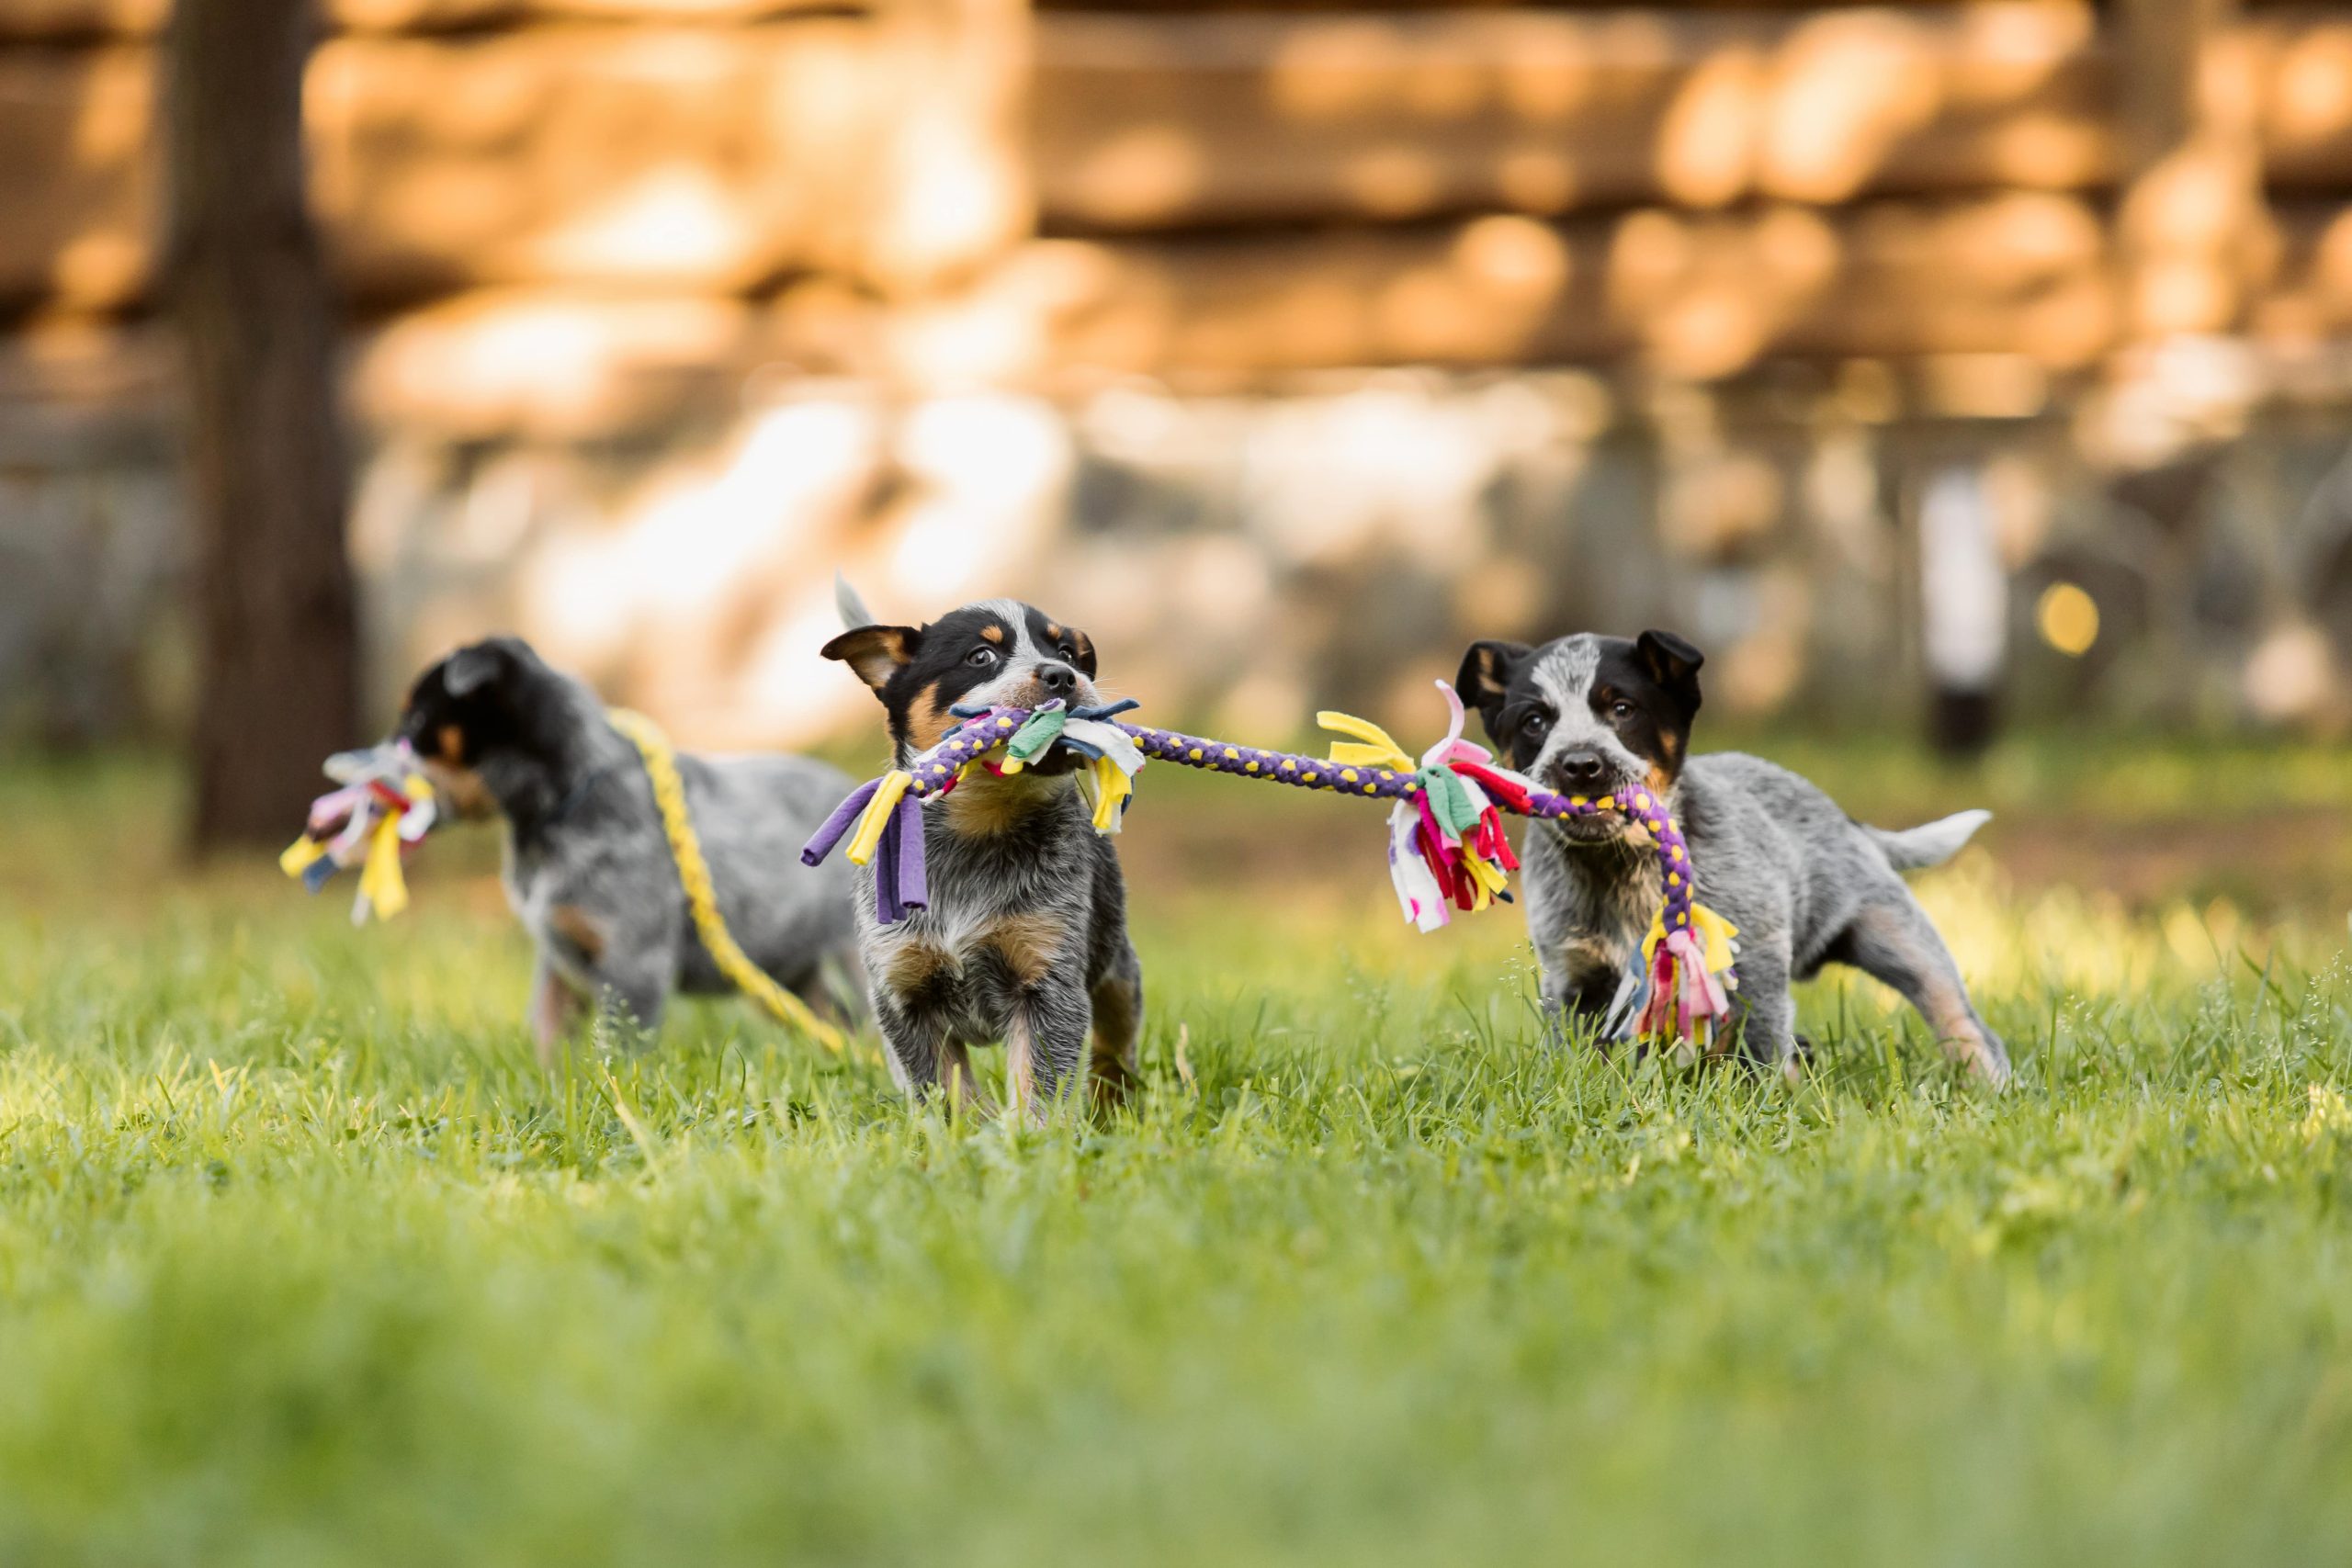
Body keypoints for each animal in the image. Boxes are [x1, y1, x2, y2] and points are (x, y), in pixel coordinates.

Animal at [395, 629, 865, 1062]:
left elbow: (619, 1046)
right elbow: (549, 1030)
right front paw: (549, 1083)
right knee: (837, 1018)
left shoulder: (632, 960)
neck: (565, 800)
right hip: (786, 971)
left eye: (415, 721)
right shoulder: (558, 959)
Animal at [823, 582, 1143, 1123]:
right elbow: (941, 1089)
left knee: (1115, 1045)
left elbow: (1040, 1084)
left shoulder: (1048, 983)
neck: (979, 827)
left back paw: (1113, 1104)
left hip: (1118, 969)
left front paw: (1031, 1136)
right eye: (980, 656)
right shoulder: (902, 992)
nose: (1063, 675)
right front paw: (956, 1132)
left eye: (1066, 652)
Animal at [1458, 629, 2013, 1086]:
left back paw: (1989, 1082)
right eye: (1534, 721)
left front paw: (1774, 1098)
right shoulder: (1573, 977)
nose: (1579, 765)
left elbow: (1763, 1042)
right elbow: (1580, 1055)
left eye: (1622, 710)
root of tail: (1846, 819)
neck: (1621, 869)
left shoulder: (1755, 954)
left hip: (1895, 935)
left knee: (1960, 1018)